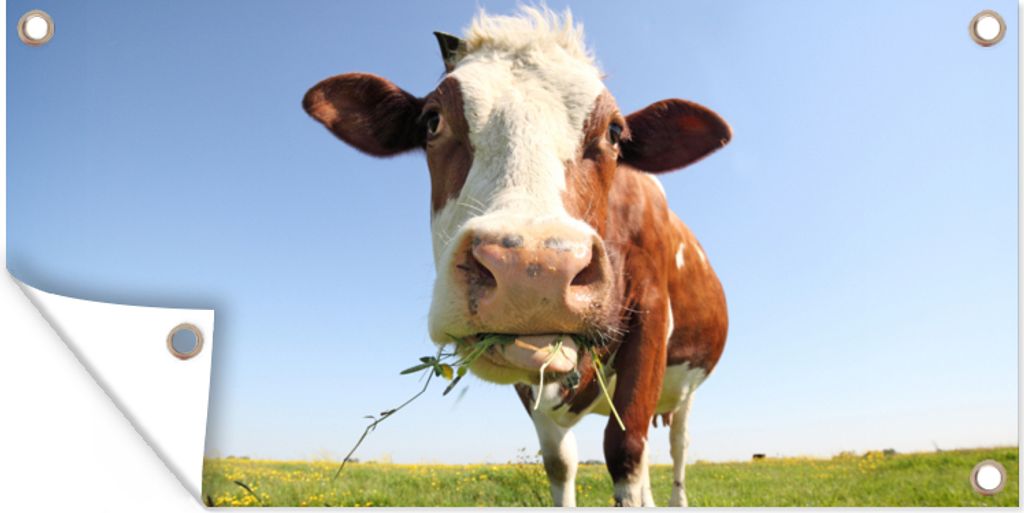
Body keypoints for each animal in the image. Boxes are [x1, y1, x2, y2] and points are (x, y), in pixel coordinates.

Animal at [303, 8, 729, 507]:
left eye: (615, 132)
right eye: (431, 121)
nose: (533, 270)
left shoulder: (651, 315)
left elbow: (625, 448)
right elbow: (560, 463)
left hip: (683, 391)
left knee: (677, 447)